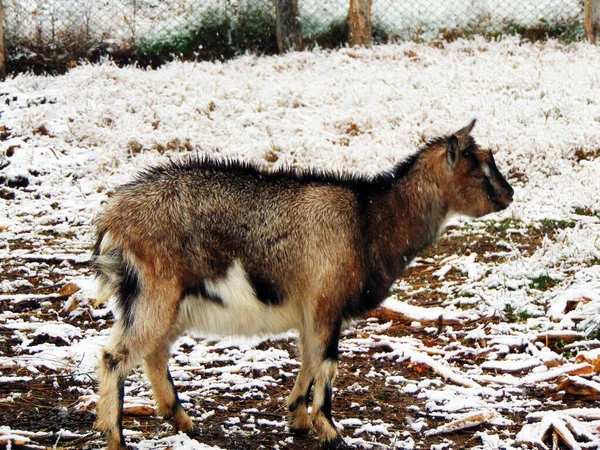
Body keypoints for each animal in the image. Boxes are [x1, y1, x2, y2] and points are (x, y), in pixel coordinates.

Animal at [92, 120, 510, 450]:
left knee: (154, 353)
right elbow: (326, 363)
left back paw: (181, 420)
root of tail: (113, 218)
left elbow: (309, 357)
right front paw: (331, 431)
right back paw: (117, 437)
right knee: (116, 356)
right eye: (479, 171)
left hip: (161, 300)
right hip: (157, 291)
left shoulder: (312, 309)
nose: (509, 195)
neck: (367, 221)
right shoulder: (326, 302)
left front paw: (298, 417)